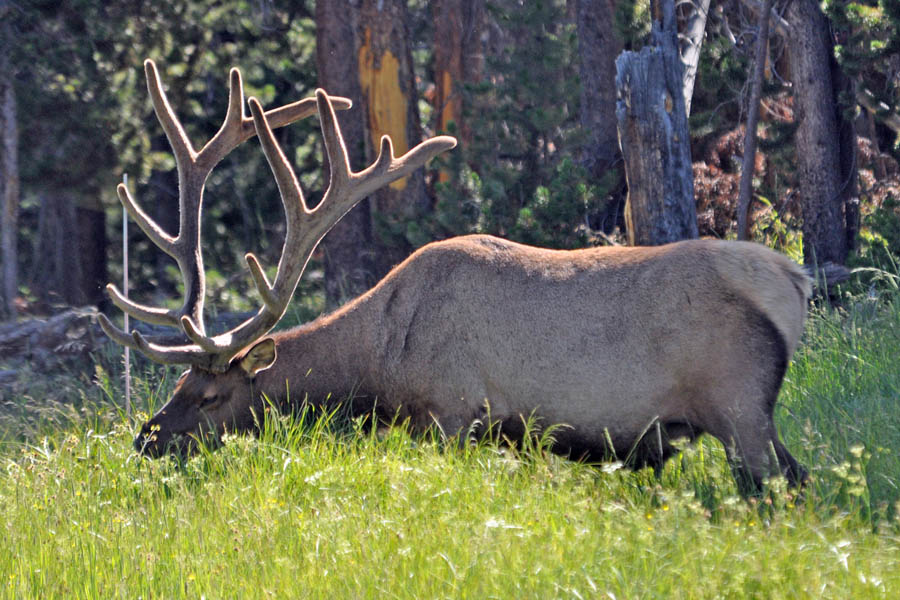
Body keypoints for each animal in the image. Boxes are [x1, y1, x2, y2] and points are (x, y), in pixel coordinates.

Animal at [100, 60, 811, 494]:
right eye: (179, 383)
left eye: (209, 395)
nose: (146, 440)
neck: (382, 364)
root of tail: (796, 281)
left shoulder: (453, 412)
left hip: (738, 402)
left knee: (783, 487)